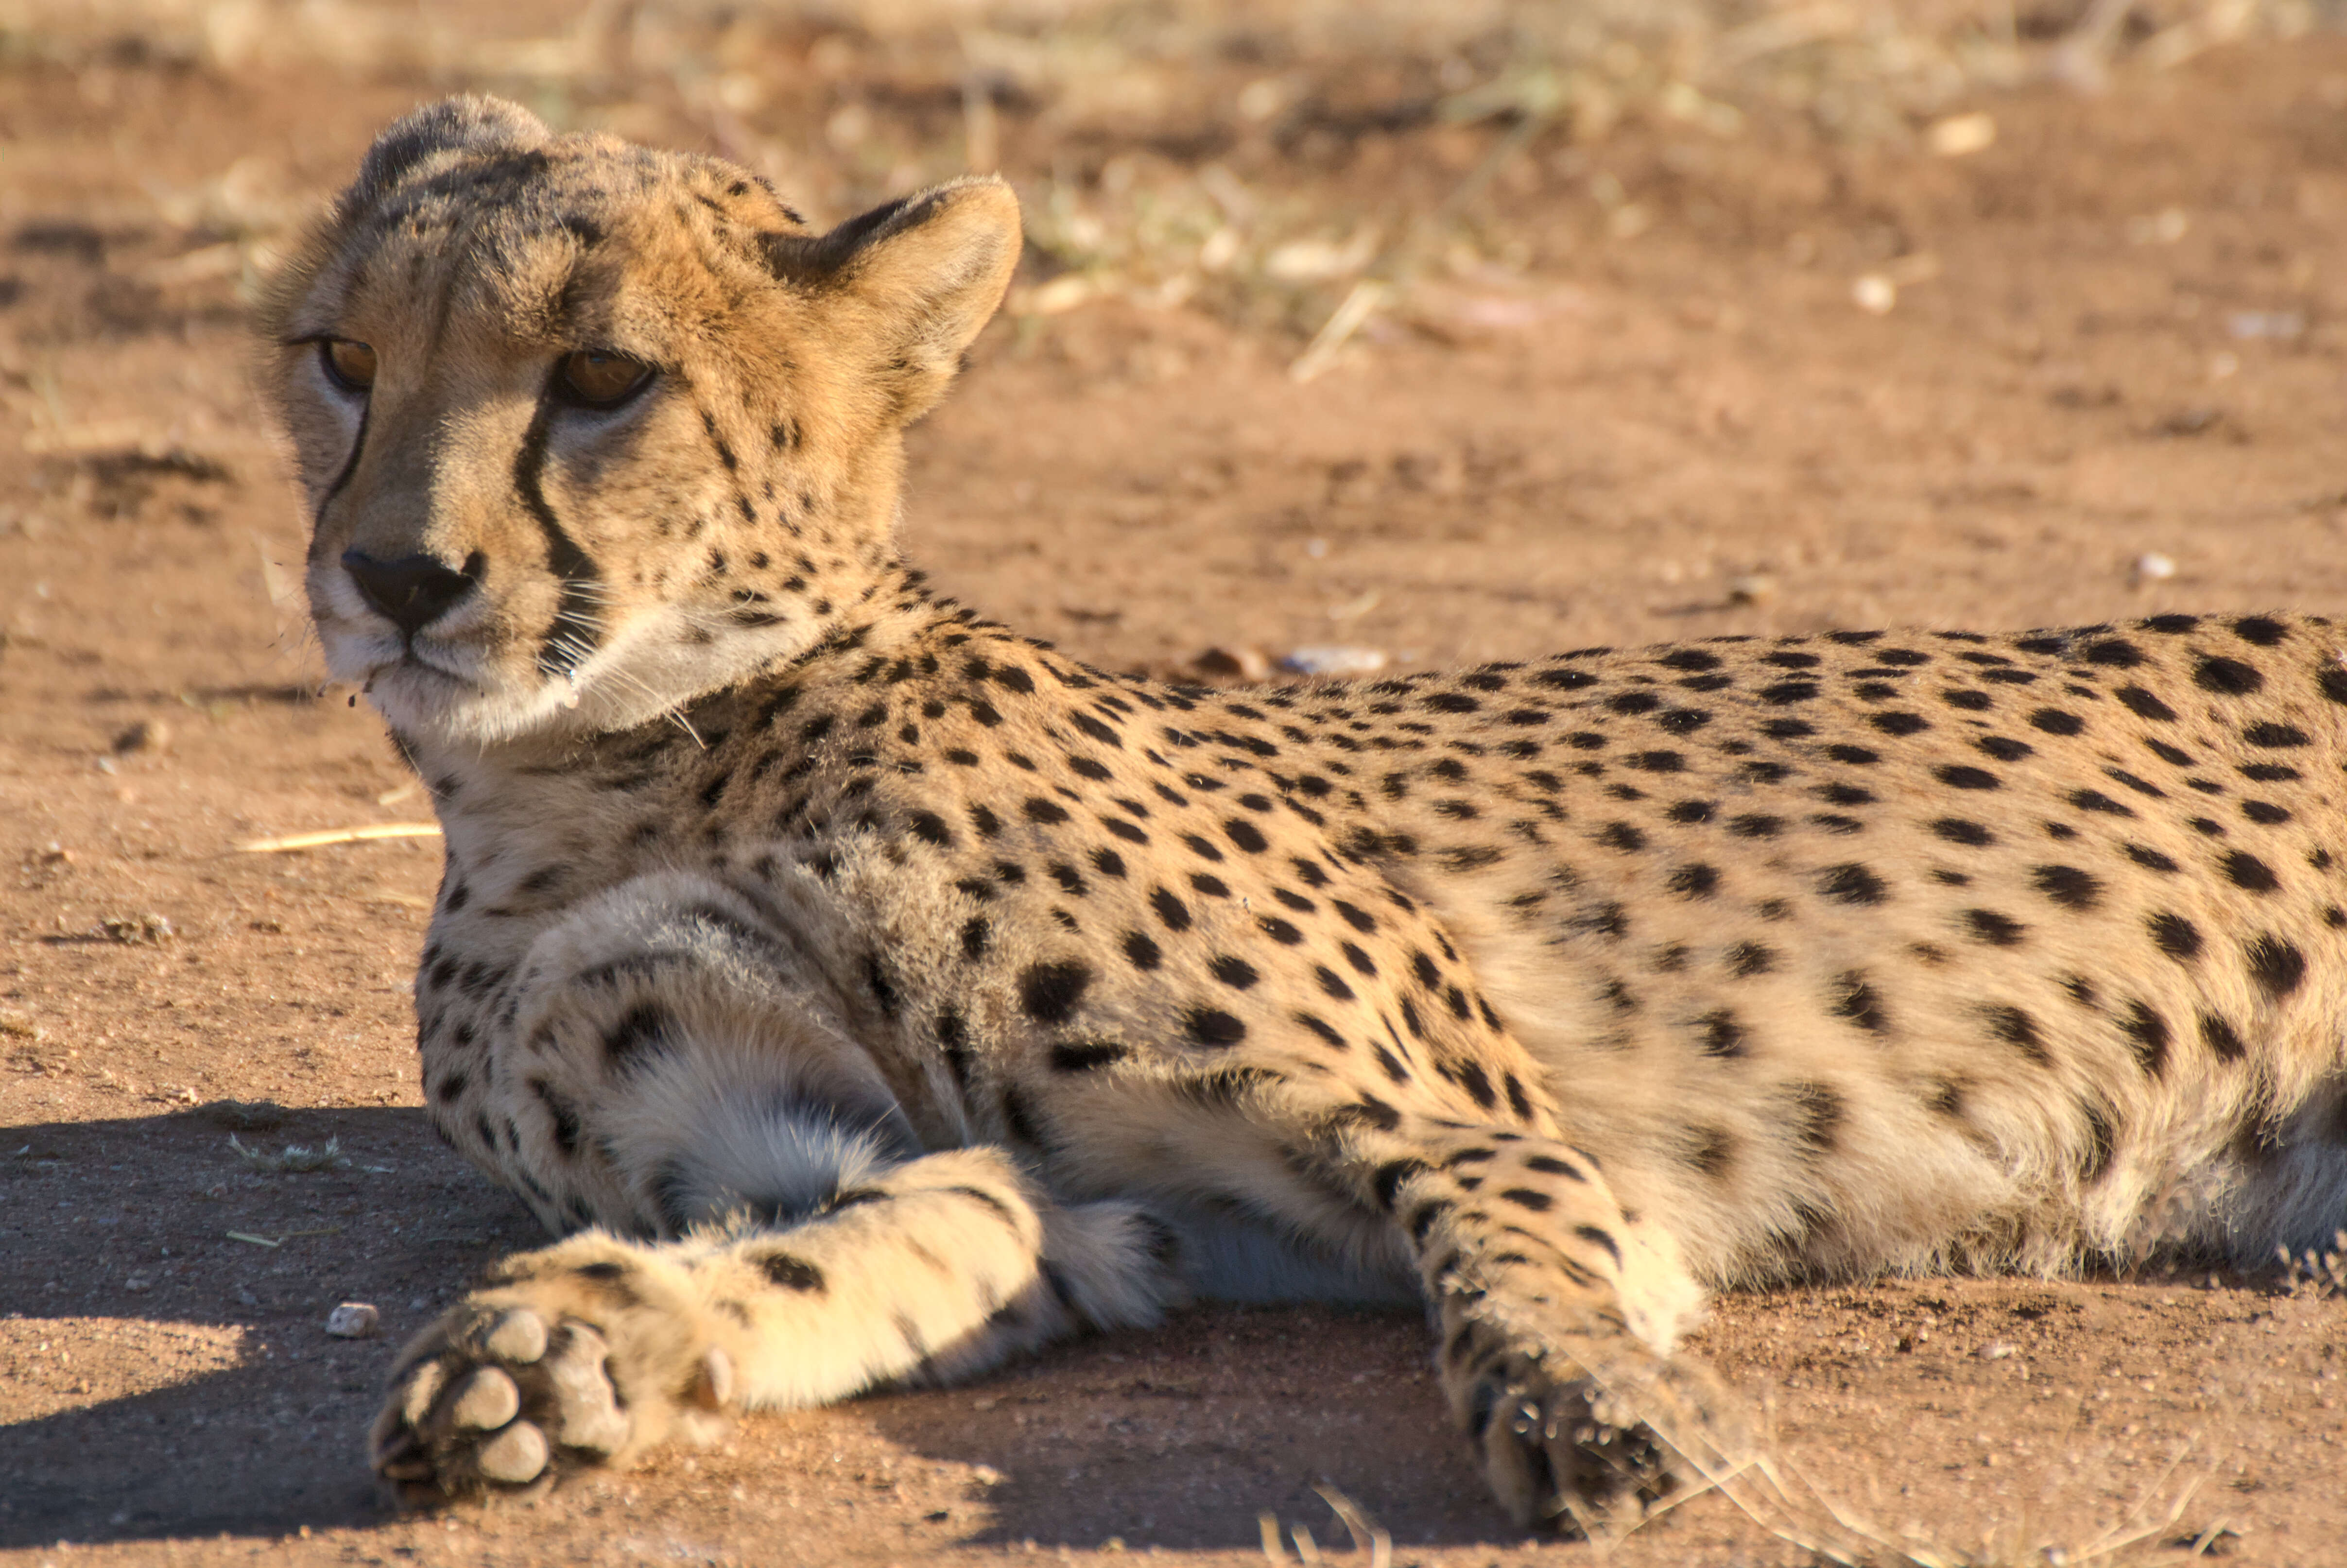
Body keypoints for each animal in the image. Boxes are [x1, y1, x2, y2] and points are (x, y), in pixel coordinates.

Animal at [266, 95, 2347, 1530]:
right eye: (342, 361)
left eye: (604, 377)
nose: (398, 577)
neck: (610, 771)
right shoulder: (1005, 1191)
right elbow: (839, 1247)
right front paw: (562, 1351)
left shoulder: (1464, 1122)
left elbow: (1523, 1254)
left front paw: (1593, 1407)